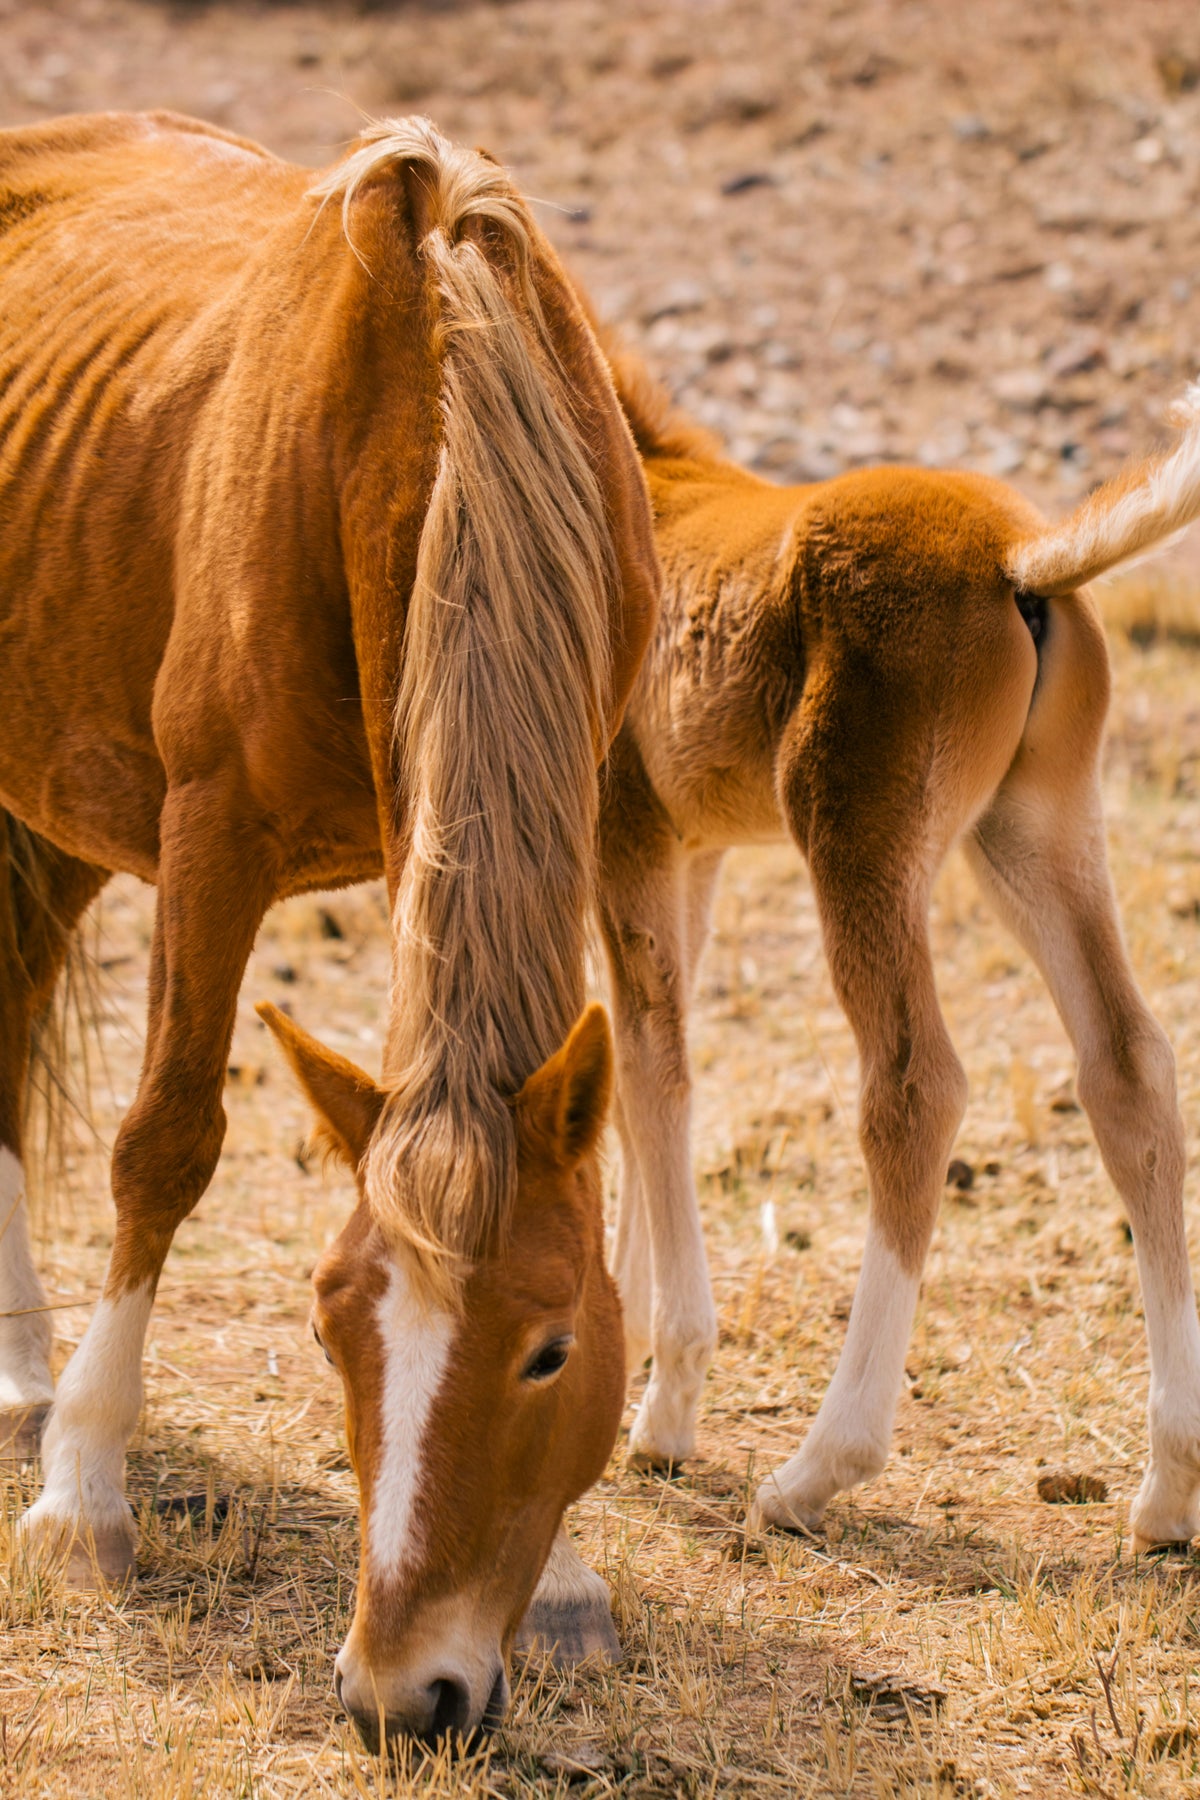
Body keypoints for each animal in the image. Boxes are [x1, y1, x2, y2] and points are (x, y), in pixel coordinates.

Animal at [0, 110, 659, 1746]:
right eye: (324, 1328)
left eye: (553, 1349)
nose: (404, 1696)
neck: (433, 399)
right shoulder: (211, 835)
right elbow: (164, 1142)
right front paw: (83, 1498)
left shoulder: (591, 794)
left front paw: (565, 1585)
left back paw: (23, 1360)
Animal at [595, 343, 1200, 1550]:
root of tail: (1018, 554)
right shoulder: (692, 855)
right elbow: (652, 1065)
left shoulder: (623, 835)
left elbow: (651, 1067)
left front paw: (665, 1403)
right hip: (1033, 831)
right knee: (1128, 1067)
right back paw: (1167, 1491)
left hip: (856, 835)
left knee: (914, 1090)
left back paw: (816, 1469)